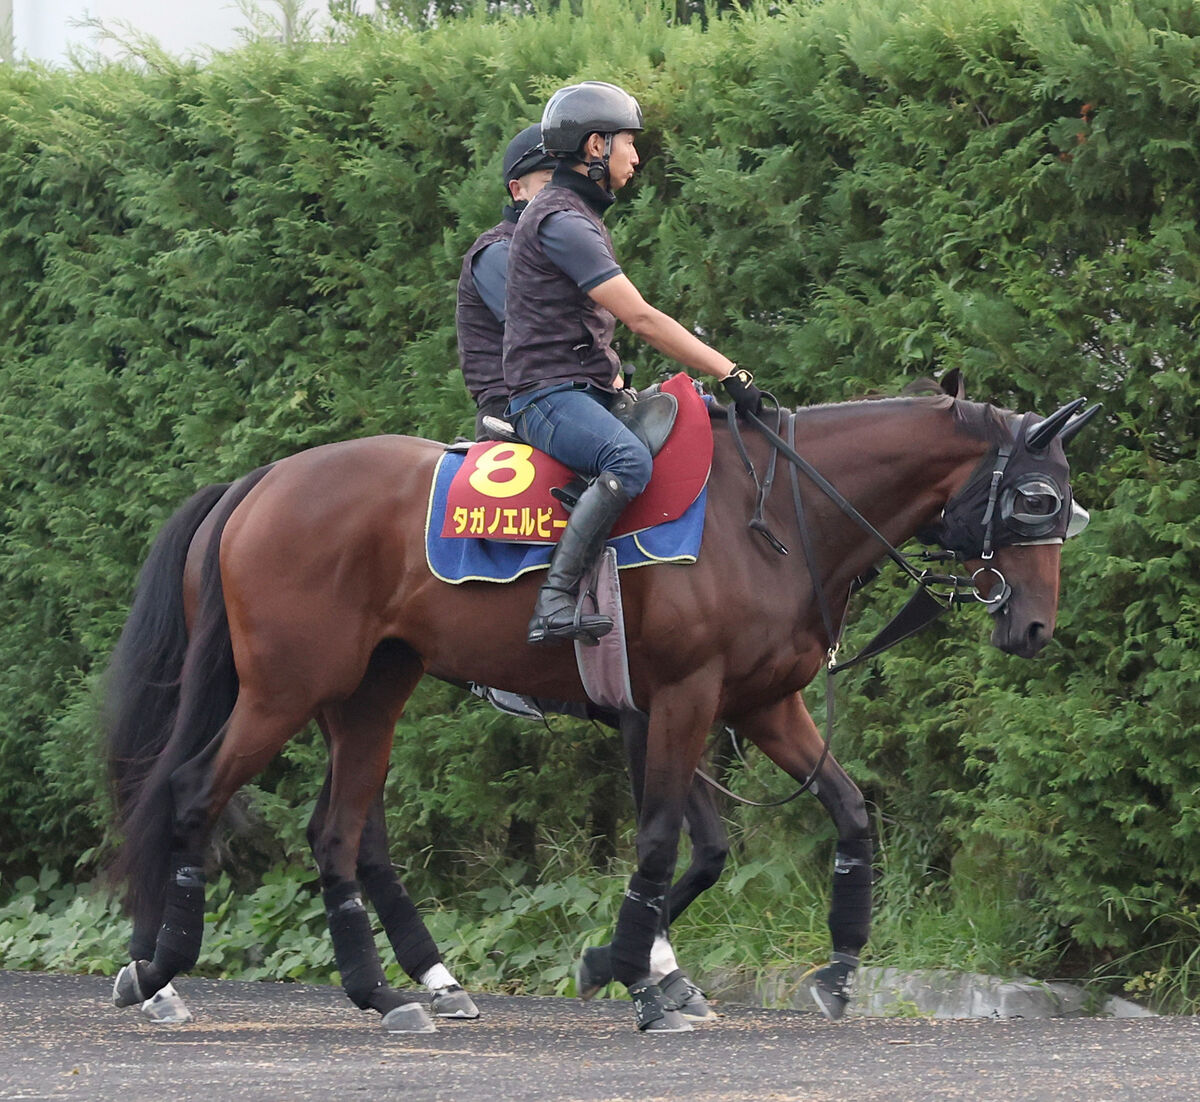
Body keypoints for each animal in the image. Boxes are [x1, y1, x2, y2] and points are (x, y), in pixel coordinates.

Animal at [105, 372, 1099, 1037]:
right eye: (1037, 499)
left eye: (1066, 507)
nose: (1036, 626)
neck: (774, 516)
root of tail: (264, 481)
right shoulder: (678, 701)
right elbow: (667, 841)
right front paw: (630, 969)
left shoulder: (762, 704)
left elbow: (842, 815)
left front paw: (838, 965)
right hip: (287, 689)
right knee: (193, 797)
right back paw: (161, 972)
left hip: (368, 693)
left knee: (342, 832)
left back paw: (391, 990)